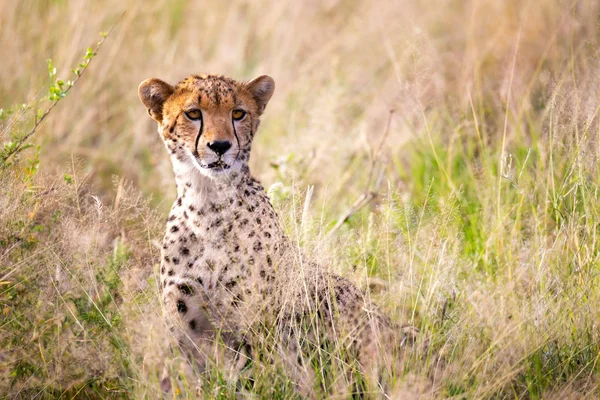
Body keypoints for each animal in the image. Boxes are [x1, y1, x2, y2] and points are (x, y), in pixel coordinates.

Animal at [139, 73, 414, 396]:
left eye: (238, 113)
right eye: (193, 113)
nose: (220, 145)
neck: (207, 202)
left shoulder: (256, 327)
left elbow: (257, 381)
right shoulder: (188, 327)